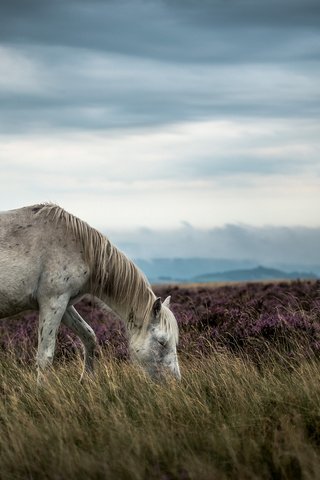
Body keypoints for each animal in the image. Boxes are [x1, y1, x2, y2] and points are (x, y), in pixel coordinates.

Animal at [0, 203, 180, 382]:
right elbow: (45, 356)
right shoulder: (53, 302)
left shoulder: (65, 304)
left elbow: (89, 336)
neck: (79, 247)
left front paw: (86, 380)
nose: (176, 381)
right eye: (162, 342)